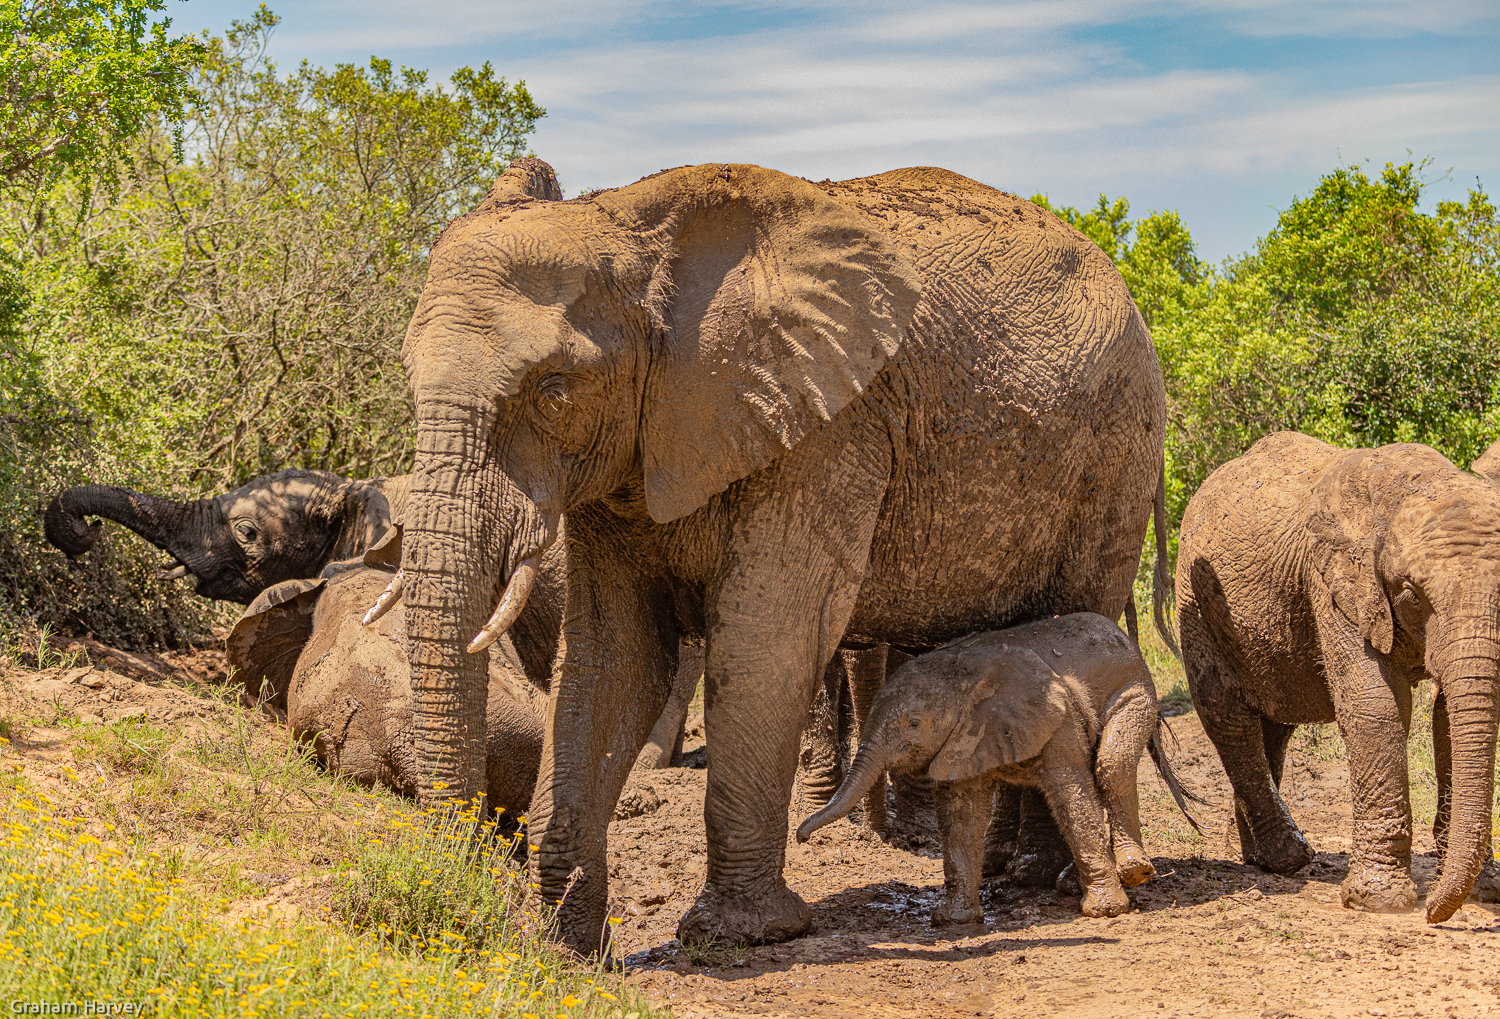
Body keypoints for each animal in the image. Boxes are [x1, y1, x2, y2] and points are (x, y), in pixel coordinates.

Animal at [798, 615, 1194, 924]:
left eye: (914, 723)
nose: (801, 837)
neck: (960, 672)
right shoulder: (964, 736)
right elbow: (962, 814)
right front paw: (953, 920)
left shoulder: (1055, 716)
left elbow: (1072, 795)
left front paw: (1105, 911)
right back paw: (1078, 881)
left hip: (1134, 690)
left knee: (1111, 765)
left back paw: (1133, 870)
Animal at [1176, 429, 1500, 924]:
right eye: (1412, 594)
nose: (1433, 913)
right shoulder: (1333, 582)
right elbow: (1375, 707)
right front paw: (1380, 902)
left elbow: (1449, 717)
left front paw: (1486, 889)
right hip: (1195, 597)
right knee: (1227, 717)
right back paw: (1289, 858)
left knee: (1274, 725)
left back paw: (1257, 856)